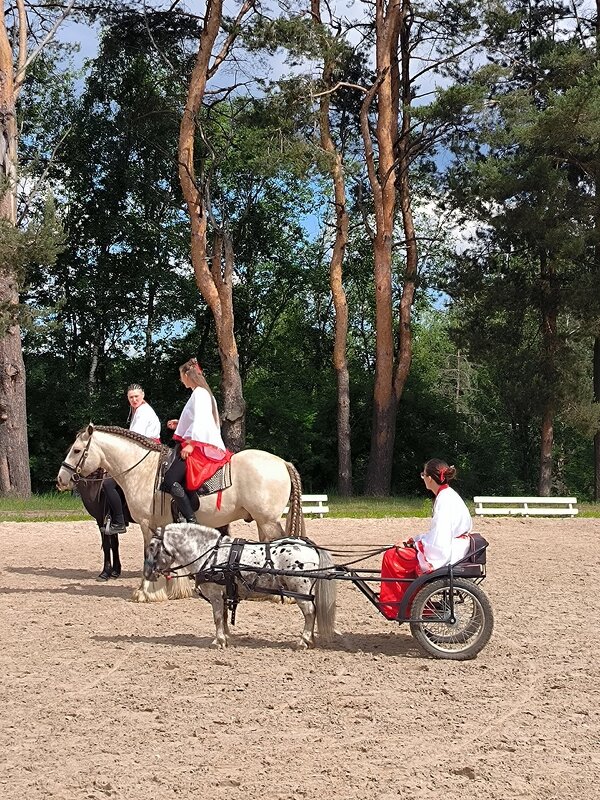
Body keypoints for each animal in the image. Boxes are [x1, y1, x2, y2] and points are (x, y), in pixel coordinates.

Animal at [55, 424, 304, 600]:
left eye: (76, 450)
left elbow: (140, 553)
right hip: (264, 522)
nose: (61, 478)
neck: (142, 470)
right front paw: (174, 588)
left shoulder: (144, 524)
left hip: (267, 521)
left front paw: (146, 591)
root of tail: (282, 462)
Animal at [142, 524, 336, 648]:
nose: (147, 573)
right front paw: (226, 637)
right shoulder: (224, 595)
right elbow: (224, 617)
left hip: (300, 591)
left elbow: (217, 617)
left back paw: (304, 641)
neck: (210, 553)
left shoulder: (215, 595)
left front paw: (219, 641)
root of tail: (309, 546)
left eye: (152, 546)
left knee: (310, 612)